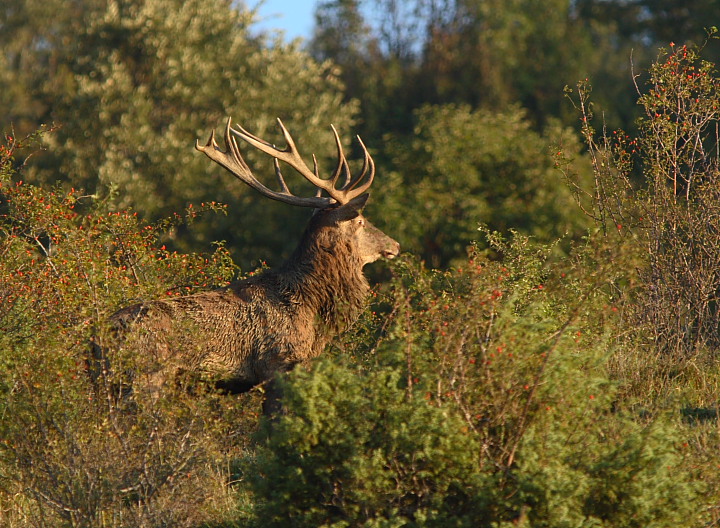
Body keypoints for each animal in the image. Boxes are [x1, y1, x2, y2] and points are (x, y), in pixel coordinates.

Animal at [102, 117, 400, 414]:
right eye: (360, 221)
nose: (395, 244)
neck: (311, 308)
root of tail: (104, 333)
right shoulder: (278, 361)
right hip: (146, 376)